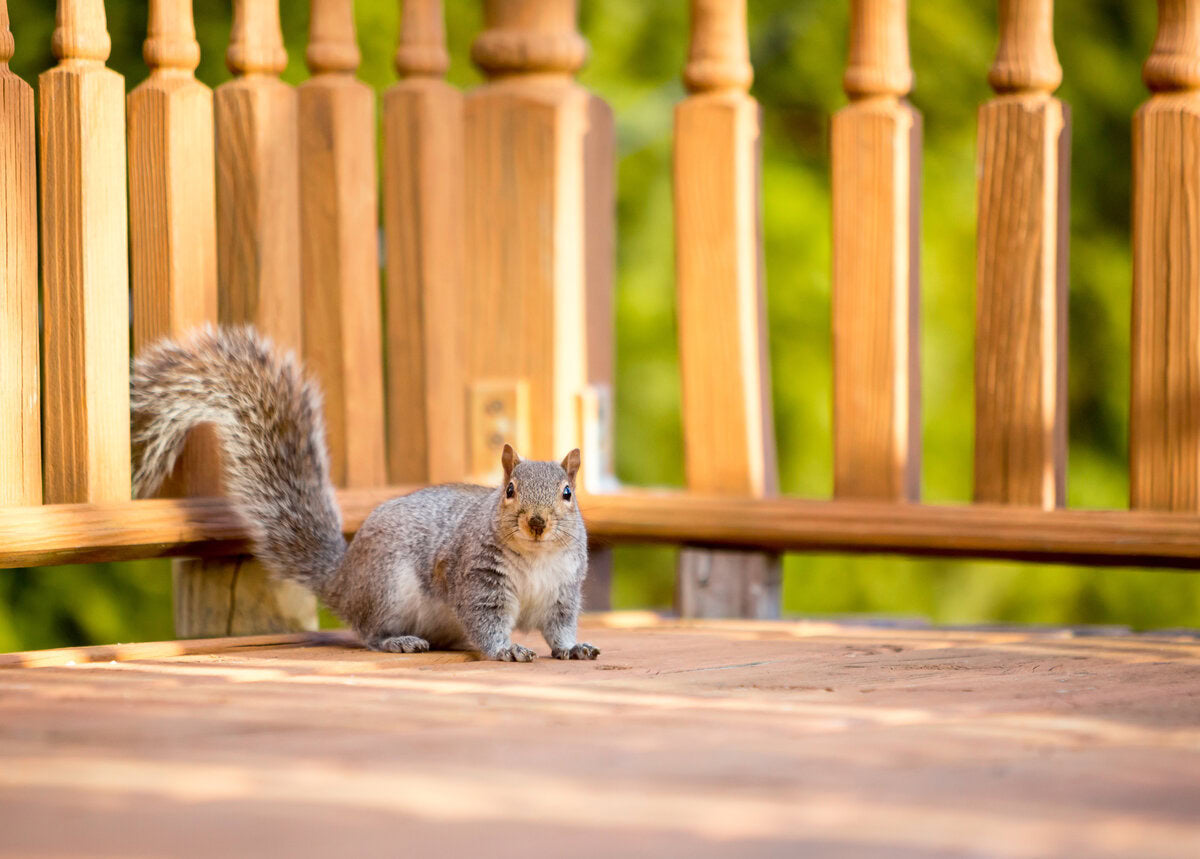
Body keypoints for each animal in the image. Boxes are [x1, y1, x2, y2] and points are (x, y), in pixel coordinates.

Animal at [130, 325, 599, 663]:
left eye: (568, 493)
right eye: (509, 490)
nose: (536, 523)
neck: (536, 557)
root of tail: (343, 579)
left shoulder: (564, 590)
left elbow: (559, 627)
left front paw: (572, 647)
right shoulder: (478, 579)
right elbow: (487, 621)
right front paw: (507, 648)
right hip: (387, 588)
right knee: (371, 632)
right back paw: (399, 642)